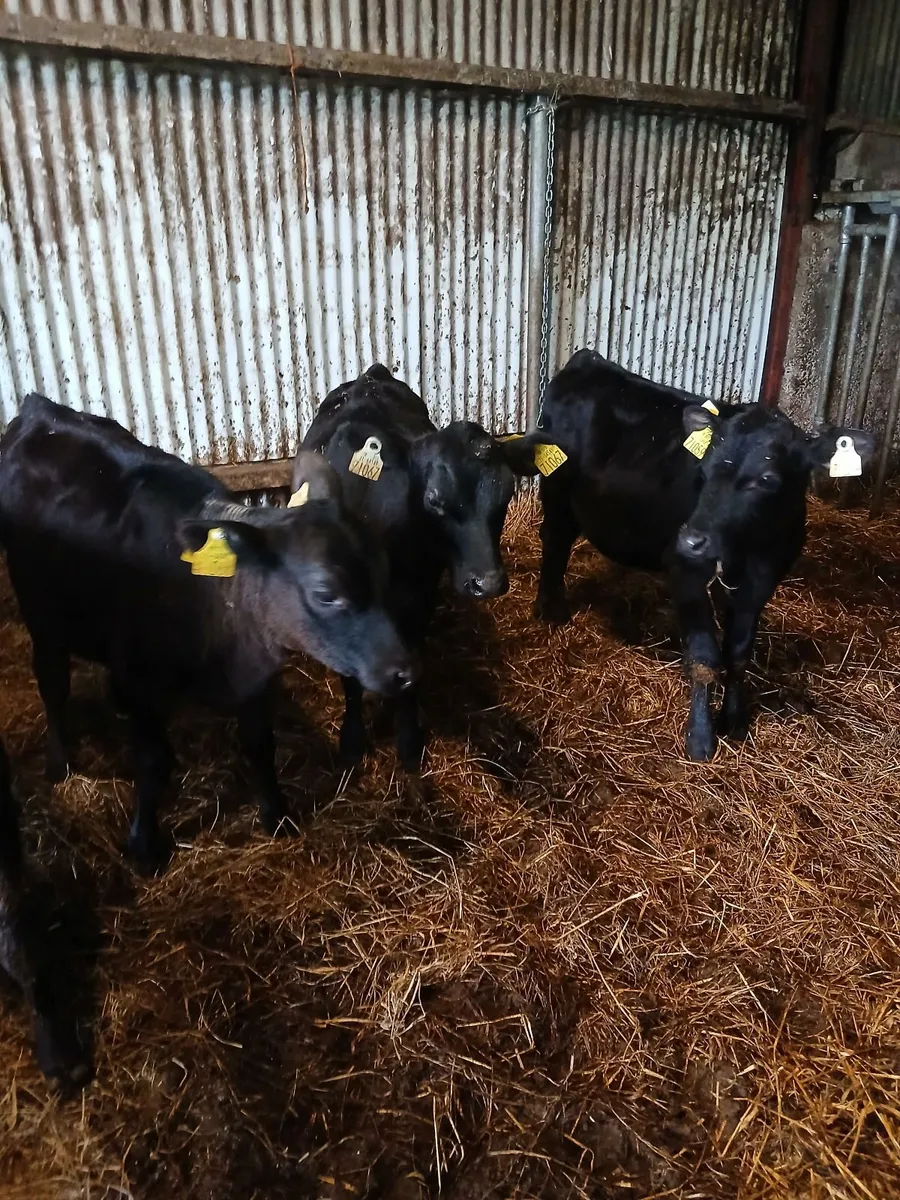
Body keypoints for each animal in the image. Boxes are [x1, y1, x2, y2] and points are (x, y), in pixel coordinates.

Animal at [0, 395, 415, 872]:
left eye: (384, 571)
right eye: (326, 593)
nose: (405, 671)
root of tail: (39, 408)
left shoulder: (252, 677)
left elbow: (260, 745)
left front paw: (277, 814)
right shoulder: (138, 681)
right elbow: (152, 762)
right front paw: (145, 846)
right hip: (40, 612)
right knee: (52, 685)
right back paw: (58, 762)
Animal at [299, 364, 539, 770]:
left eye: (506, 493)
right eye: (434, 500)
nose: (487, 583)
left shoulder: (421, 596)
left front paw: (410, 740)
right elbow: (351, 678)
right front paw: (352, 740)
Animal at [532, 350, 875, 760]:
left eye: (766, 480)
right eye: (705, 471)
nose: (692, 539)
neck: (752, 545)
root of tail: (589, 361)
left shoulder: (763, 579)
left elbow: (739, 651)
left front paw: (735, 720)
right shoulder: (685, 571)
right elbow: (704, 655)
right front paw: (700, 737)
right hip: (555, 488)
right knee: (554, 542)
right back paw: (549, 611)